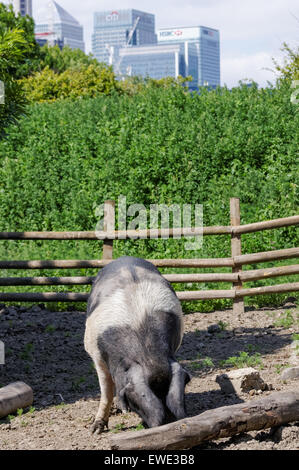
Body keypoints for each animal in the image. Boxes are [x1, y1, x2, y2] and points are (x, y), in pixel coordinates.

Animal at [84, 258, 191, 434]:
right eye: (135, 401)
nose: (169, 422)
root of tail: (124, 257)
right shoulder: (95, 353)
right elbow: (106, 390)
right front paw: (95, 431)